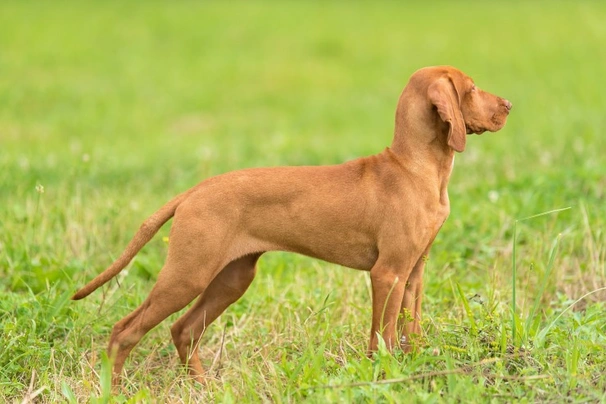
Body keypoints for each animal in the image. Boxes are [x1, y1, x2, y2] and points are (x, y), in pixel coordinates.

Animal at [75, 64, 512, 384]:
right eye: (472, 89)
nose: (508, 103)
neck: (412, 168)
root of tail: (194, 191)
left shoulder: (414, 272)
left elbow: (411, 329)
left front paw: (417, 368)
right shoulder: (387, 273)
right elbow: (382, 336)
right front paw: (383, 374)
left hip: (232, 278)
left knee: (183, 330)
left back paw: (203, 388)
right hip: (188, 274)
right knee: (124, 332)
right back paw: (113, 390)